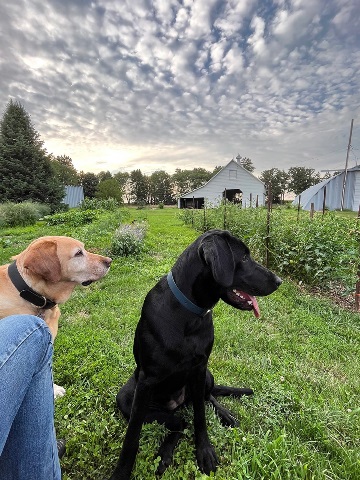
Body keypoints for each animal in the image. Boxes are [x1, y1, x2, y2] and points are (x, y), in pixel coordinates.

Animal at [109, 231, 282, 478]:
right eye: (244, 257)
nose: (279, 281)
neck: (189, 314)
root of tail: (178, 403)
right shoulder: (146, 381)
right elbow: (132, 436)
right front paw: (122, 472)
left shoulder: (200, 369)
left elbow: (200, 416)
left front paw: (204, 451)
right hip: (127, 397)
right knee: (179, 422)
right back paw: (165, 454)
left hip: (207, 376)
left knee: (205, 401)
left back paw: (224, 415)